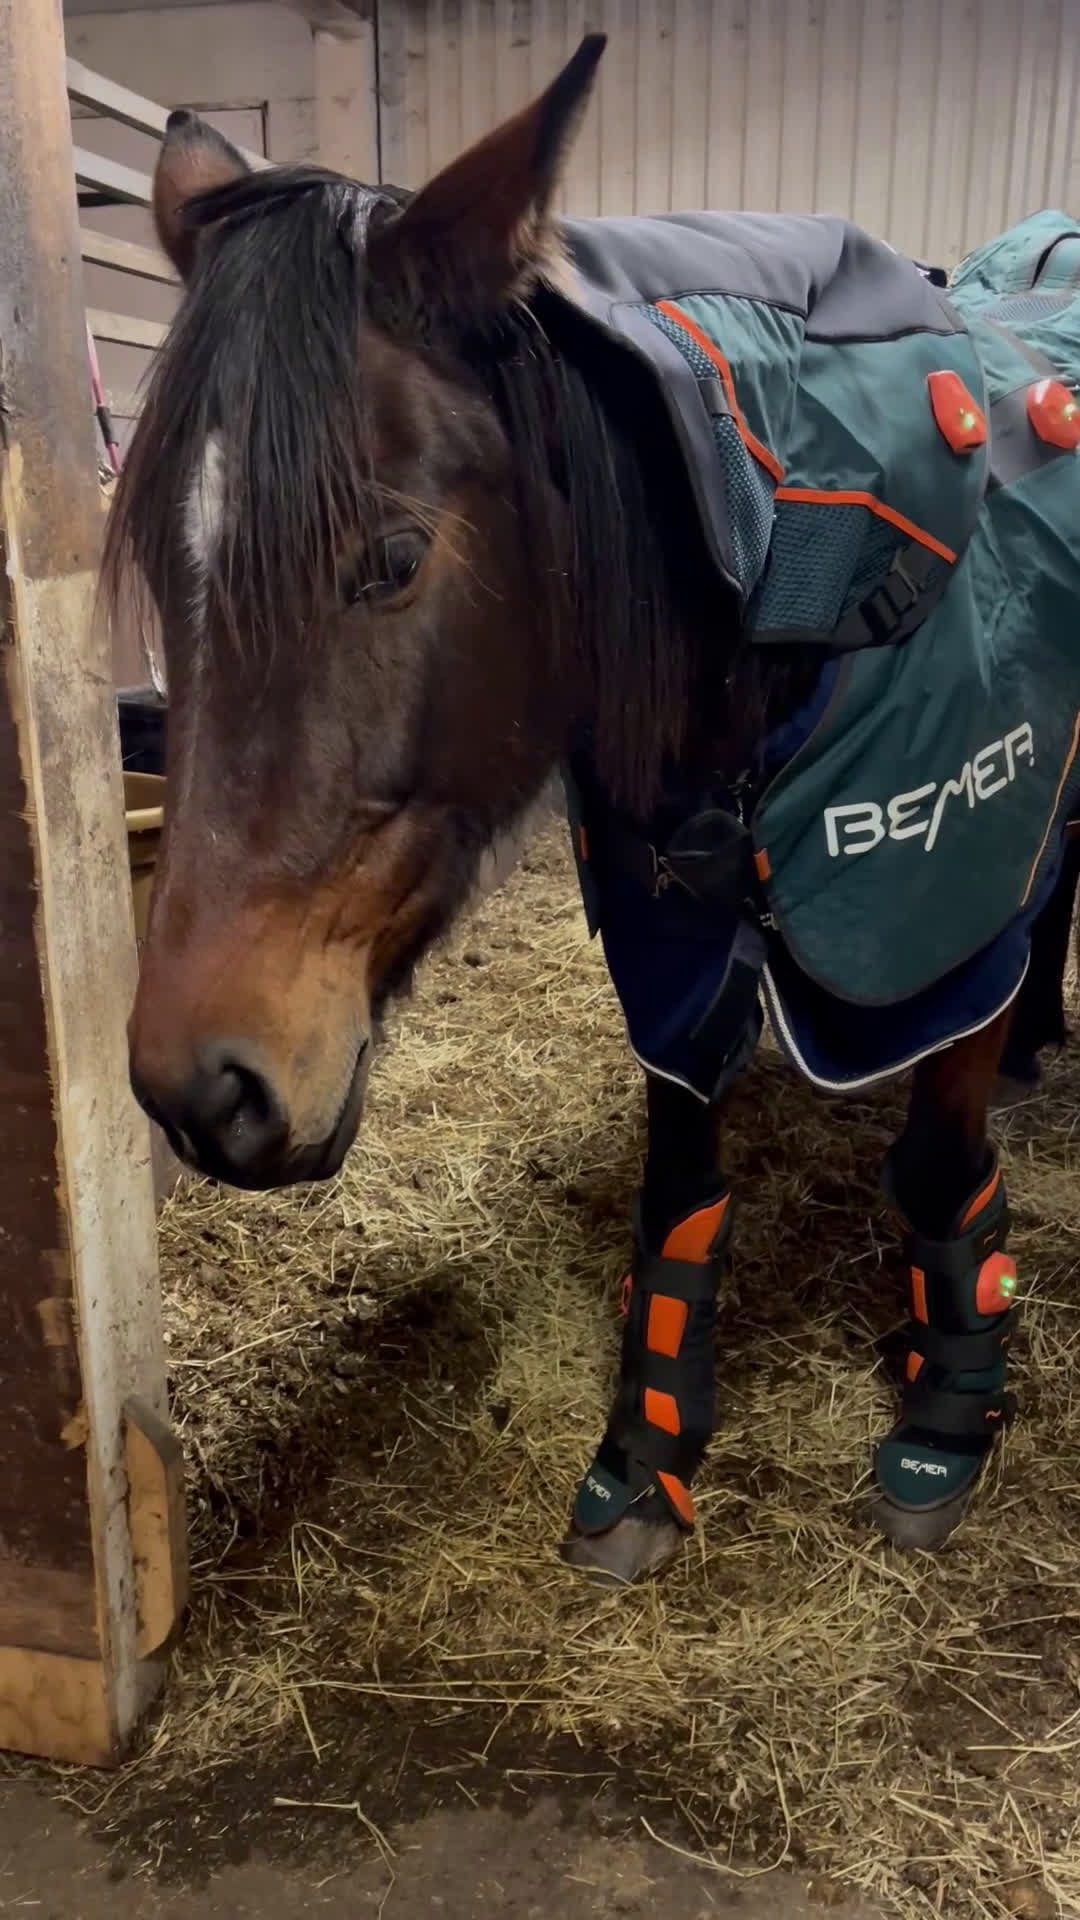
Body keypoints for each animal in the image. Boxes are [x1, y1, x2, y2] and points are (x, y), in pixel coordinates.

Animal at [105, 35, 1080, 1584]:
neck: (803, 576)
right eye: (159, 566)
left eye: (390, 558)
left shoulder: (943, 911)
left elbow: (939, 1167)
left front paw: (947, 1415)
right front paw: (647, 1453)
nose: (202, 1090)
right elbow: (679, 1190)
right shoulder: (669, 927)